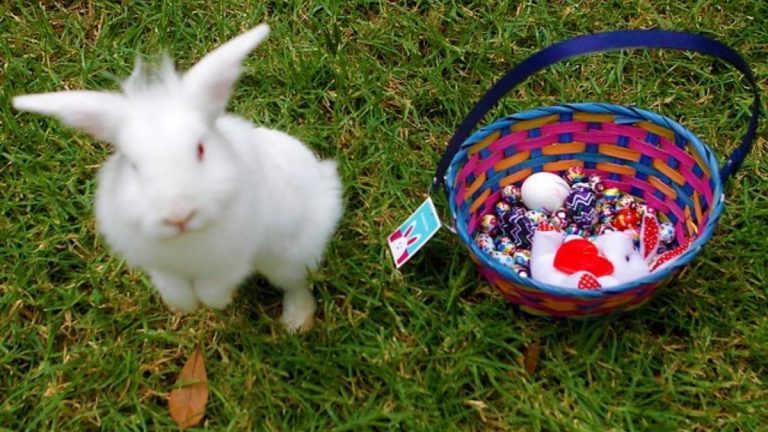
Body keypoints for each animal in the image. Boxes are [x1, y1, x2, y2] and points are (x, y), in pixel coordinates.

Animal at [11, 25, 342, 332]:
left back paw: (297, 324)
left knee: (296, 284)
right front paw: (184, 306)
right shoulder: (160, 267)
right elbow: (173, 287)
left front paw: (215, 302)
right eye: (133, 165)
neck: (186, 238)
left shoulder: (234, 259)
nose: (178, 215)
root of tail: (325, 178)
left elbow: (214, 285)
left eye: (200, 149)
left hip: (290, 255)